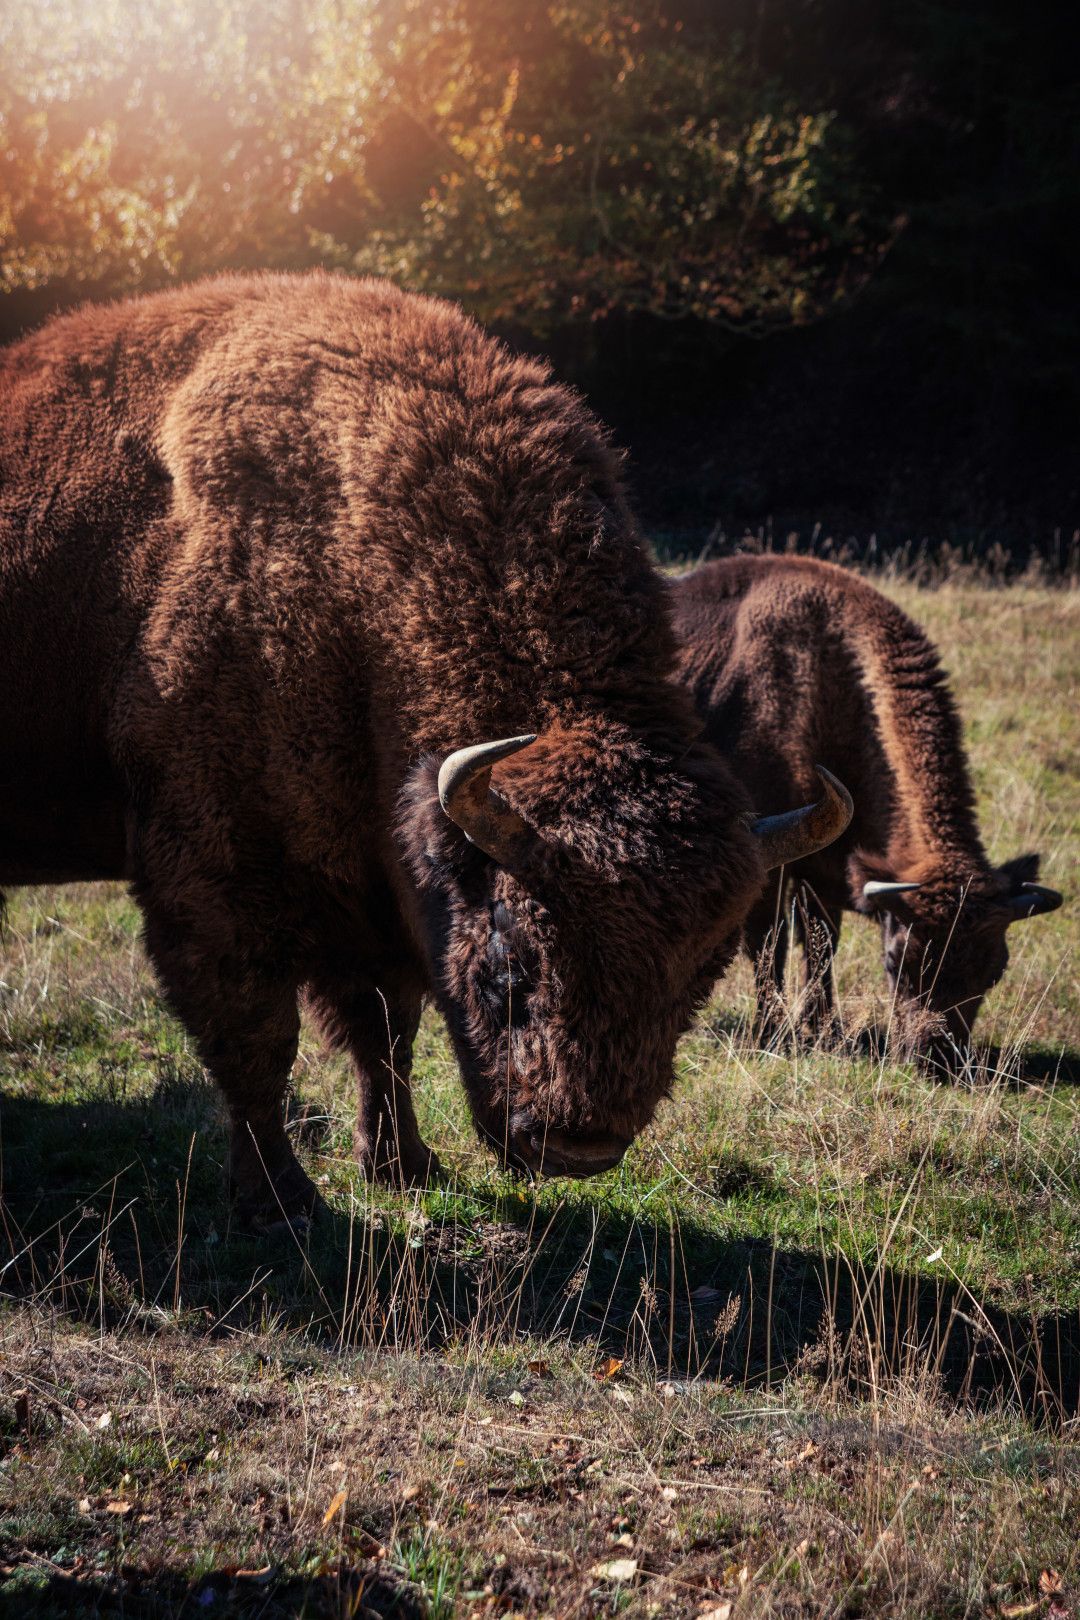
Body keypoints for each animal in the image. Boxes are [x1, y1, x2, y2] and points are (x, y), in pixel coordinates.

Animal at [0, 272, 854, 1218]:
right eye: (512, 962)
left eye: (700, 978)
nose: (582, 1144)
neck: (353, 558)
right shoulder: (218, 873)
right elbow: (259, 1038)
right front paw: (278, 1198)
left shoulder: (379, 884)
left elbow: (387, 1032)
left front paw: (404, 1165)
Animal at [670, 550, 1062, 1069]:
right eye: (897, 961)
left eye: (995, 969)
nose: (938, 1058)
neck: (825, 683)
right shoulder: (770, 862)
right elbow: (771, 944)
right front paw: (772, 1035)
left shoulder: (824, 867)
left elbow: (821, 947)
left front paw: (825, 1032)